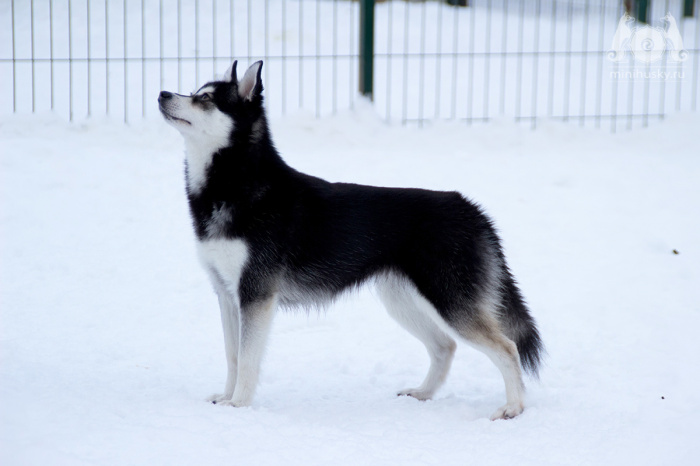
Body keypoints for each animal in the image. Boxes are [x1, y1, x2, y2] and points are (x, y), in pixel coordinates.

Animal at [161, 60, 544, 420]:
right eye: (194, 91)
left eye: (206, 99)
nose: (163, 93)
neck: (237, 185)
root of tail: (471, 208)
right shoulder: (227, 294)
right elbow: (233, 356)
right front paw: (226, 399)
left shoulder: (256, 294)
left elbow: (248, 358)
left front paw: (240, 404)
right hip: (403, 300)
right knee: (445, 346)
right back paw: (422, 394)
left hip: (449, 302)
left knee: (505, 347)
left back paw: (513, 408)